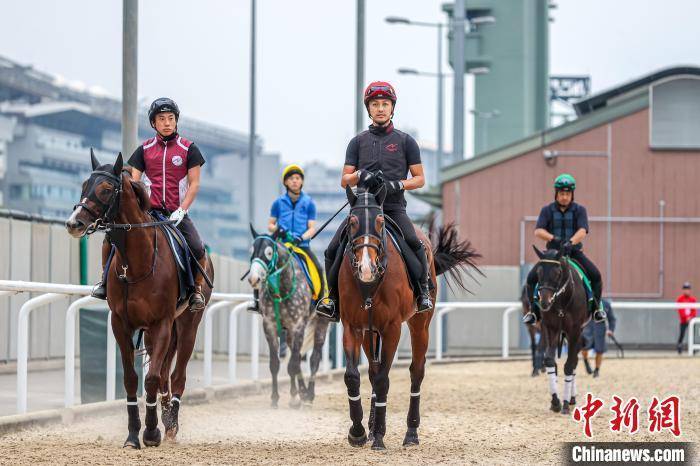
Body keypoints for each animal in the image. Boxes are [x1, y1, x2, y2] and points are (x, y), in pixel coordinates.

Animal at [65, 152, 213, 448]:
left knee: (176, 376)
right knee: (166, 376)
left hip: (188, 325)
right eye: (85, 184)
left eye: (106, 189)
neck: (136, 263)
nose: (74, 223)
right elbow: (132, 379)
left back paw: (171, 425)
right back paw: (166, 416)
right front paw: (134, 434)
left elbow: (152, 378)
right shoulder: (120, 323)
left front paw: (152, 432)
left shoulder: (162, 323)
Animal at [246, 227, 330, 408]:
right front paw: (275, 398)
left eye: (269, 252)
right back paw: (302, 392)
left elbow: (293, 364)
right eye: (251, 250)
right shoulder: (270, 325)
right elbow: (275, 364)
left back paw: (309, 394)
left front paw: (294, 397)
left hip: (321, 323)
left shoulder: (298, 325)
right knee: (297, 358)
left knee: (314, 358)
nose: (253, 278)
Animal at [340, 186, 482, 452]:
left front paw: (380, 437)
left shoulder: (392, 328)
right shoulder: (352, 327)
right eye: (352, 222)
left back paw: (411, 433)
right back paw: (372, 428)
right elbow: (354, 377)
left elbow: (384, 380)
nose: (366, 268)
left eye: (380, 221)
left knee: (416, 372)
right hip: (370, 332)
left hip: (419, 326)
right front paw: (358, 432)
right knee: (373, 372)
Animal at [532, 248, 588, 416]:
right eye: (538, 271)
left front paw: (565, 403)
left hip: (578, 332)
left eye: (557, 272)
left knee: (574, 362)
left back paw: (571, 399)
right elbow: (550, 361)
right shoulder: (551, 328)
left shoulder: (575, 330)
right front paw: (555, 401)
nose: (544, 302)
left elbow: (569, 365)